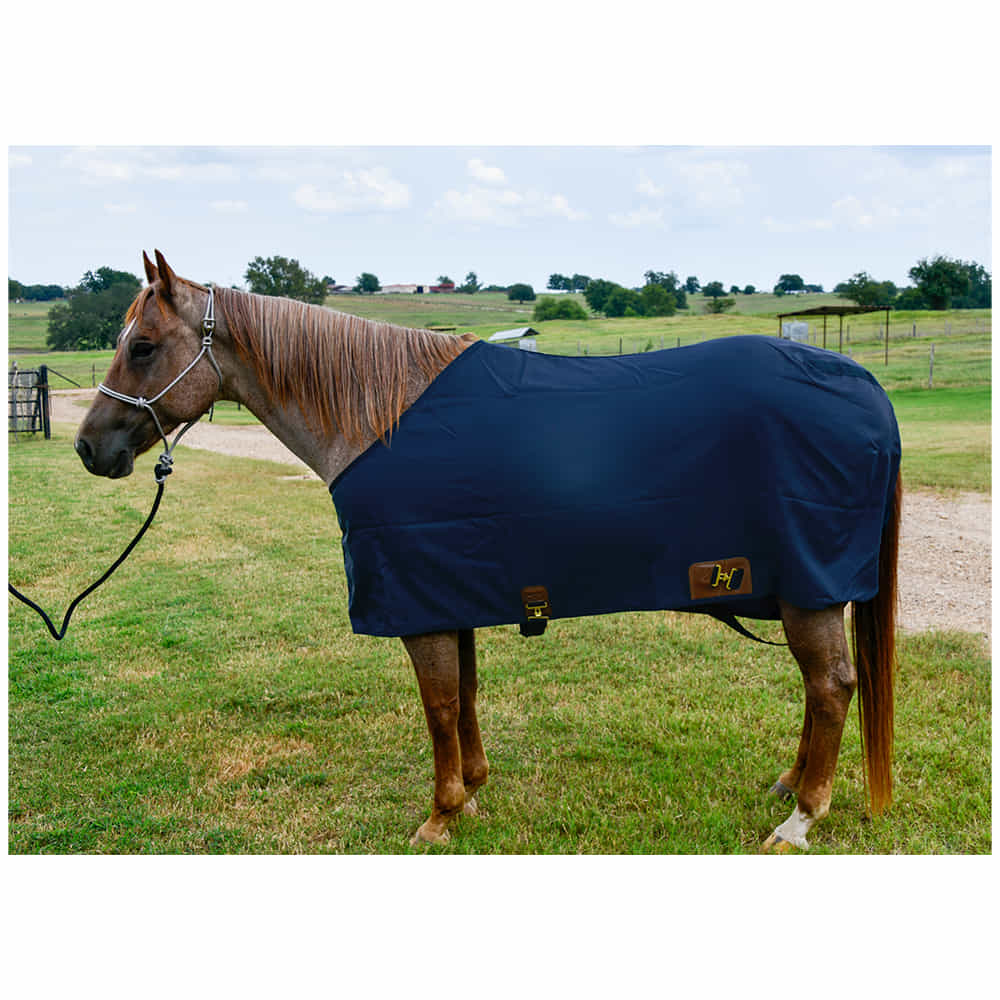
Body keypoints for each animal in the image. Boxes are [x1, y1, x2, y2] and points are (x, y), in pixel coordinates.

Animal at [75, 251, 901, 851]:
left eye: (143, 347)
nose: (90, 447)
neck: (376, 418)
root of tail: (862, 384)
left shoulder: (417, 603)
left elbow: (438, 703)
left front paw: (440, 813)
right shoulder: (450, 589)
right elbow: (465, 695)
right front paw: (471, 790)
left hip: (807, 588)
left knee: (831, 686)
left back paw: (801, 816)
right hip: (804, 592)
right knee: (821, 688)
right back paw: (789, 783)